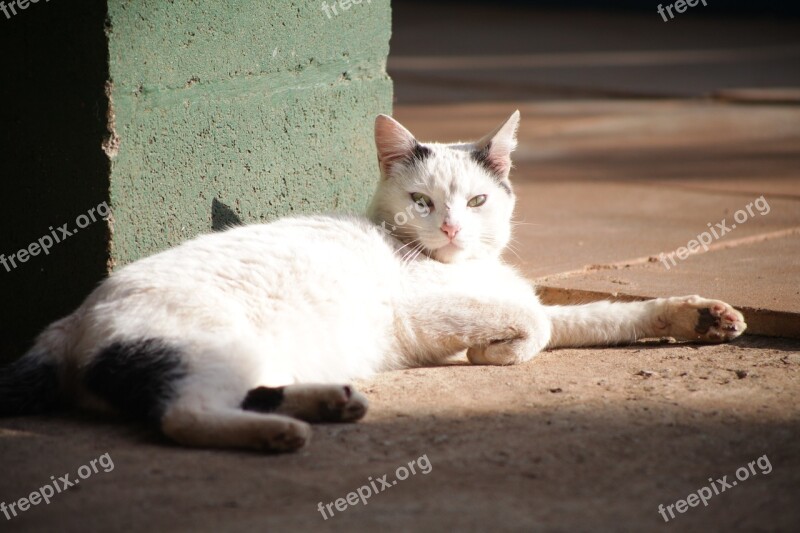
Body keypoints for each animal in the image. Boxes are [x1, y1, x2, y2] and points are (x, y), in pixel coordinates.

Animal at [0, 110, 744, 450]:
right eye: (422, 201)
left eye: (477, 201)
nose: (452, 228)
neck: (463, 267)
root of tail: (65, 325)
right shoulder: (426, 316)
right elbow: (533, 323)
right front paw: (499, 351)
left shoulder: (522, 297)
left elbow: (595, 315)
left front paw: (700, 315)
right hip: (208, 343)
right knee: (182, 414)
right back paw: (285, 433)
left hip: (250, 356)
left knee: (240, 394)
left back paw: (331, 402)